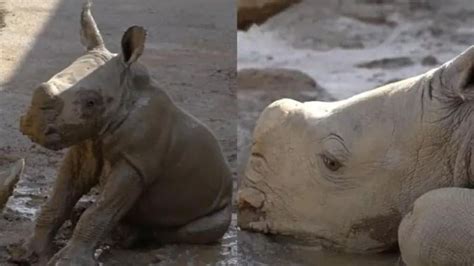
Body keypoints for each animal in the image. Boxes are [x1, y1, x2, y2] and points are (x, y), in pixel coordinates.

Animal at [11, 2, 233, 266]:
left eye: (91, 102)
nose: (33, 125)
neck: (126, 95)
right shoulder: (87, 143)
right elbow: (59, 198)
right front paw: (26, 253)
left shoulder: (136, 161)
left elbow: (101, 211)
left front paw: (66, 262)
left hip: (220, 204)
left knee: (197, 228)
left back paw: (132, 238)